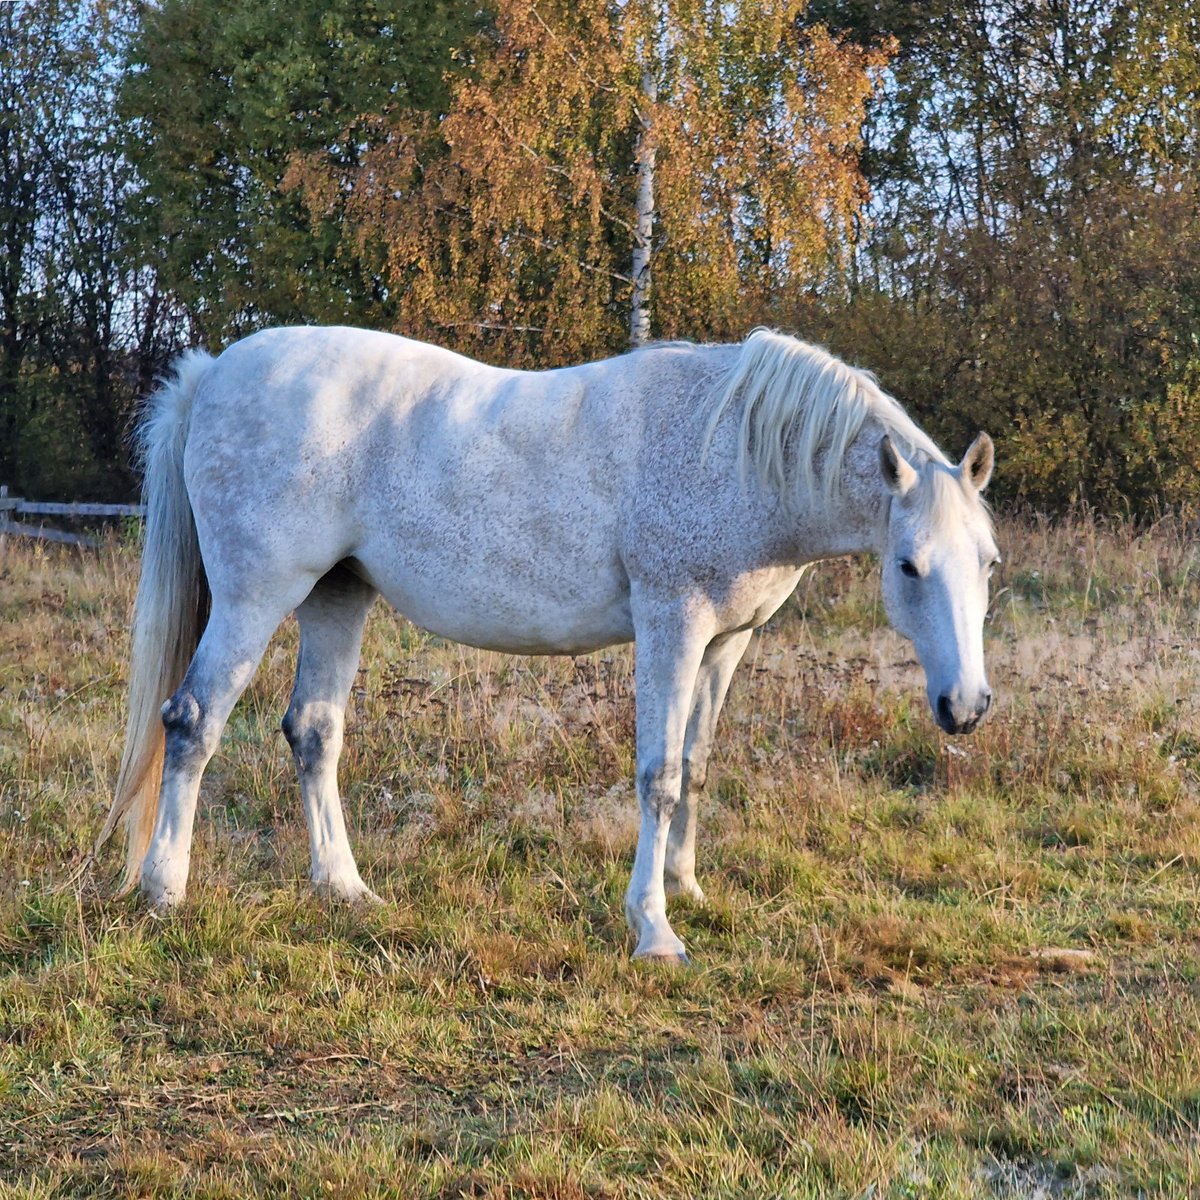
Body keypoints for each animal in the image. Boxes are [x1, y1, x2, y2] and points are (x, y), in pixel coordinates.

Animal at [96, 326, 998, 962]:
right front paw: (654, 929)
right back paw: (164, 890)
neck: (734, 451)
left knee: (314, 733)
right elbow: (659, 777)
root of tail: (213, 373)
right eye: (910, 566)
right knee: (193, 722)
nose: (966, 706)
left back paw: (345, 889)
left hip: (335, 595)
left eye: (988, 562)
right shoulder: (671, 624)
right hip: (256, 599)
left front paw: (687, 888)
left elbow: (697, 766)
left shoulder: (725, 643)